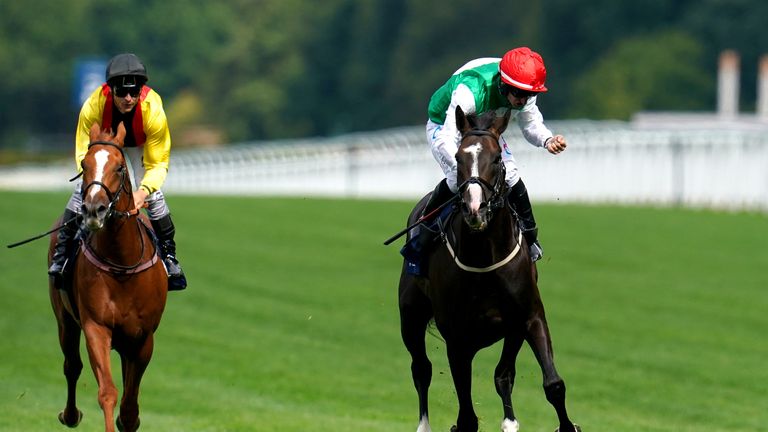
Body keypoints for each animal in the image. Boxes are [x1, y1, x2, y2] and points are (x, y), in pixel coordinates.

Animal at [48, 122, 169, 432]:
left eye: (119, 168)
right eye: (84, 165)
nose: (94, 209)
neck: (122, 263)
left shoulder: (143, 337)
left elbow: (129, 406)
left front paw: (129, 418)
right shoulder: (96, 327)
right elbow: (108, 392)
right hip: (65, 319)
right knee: (71, 365)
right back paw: (70, 414)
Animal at [400, 107, 580, 432]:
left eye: (496, 158)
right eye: (458, 157)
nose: (475, 208)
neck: (485, 261)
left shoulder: (528, 317)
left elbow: (551, 384)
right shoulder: (457, 338)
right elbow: (467, 417)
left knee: (502, 376)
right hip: (411, 317)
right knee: (421, 369)